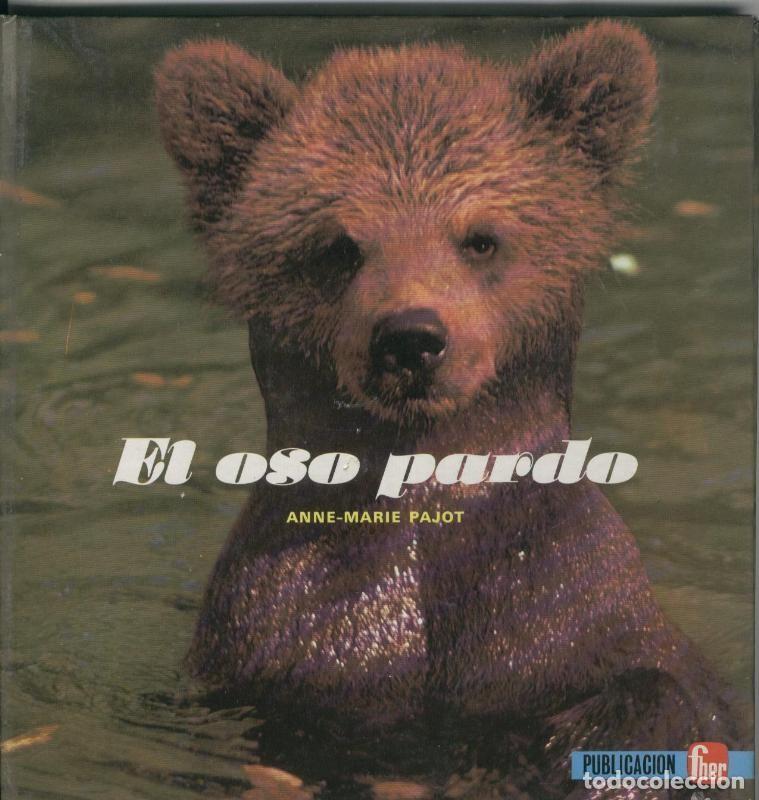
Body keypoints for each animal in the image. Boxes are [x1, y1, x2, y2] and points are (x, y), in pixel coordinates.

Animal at [155, 22, 743, 798]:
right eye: (338, 246)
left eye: (480, 237)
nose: (410, 337)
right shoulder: (281, 637)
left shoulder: (556, 609)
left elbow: (656, 690)